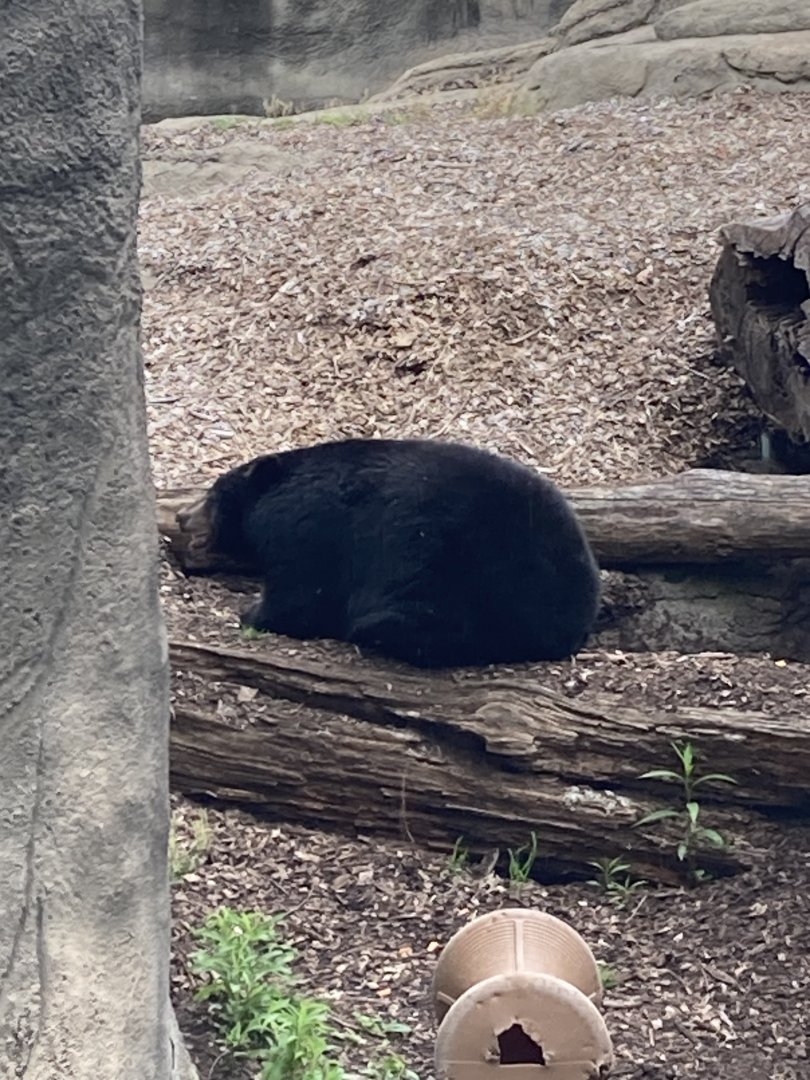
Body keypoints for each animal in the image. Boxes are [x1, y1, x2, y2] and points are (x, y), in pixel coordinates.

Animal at [177, 437, 601, 669]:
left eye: (212, 496)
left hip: (456, 570)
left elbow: (303, 591)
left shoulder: (312, 528)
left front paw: (252, 612)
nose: (181, 516)